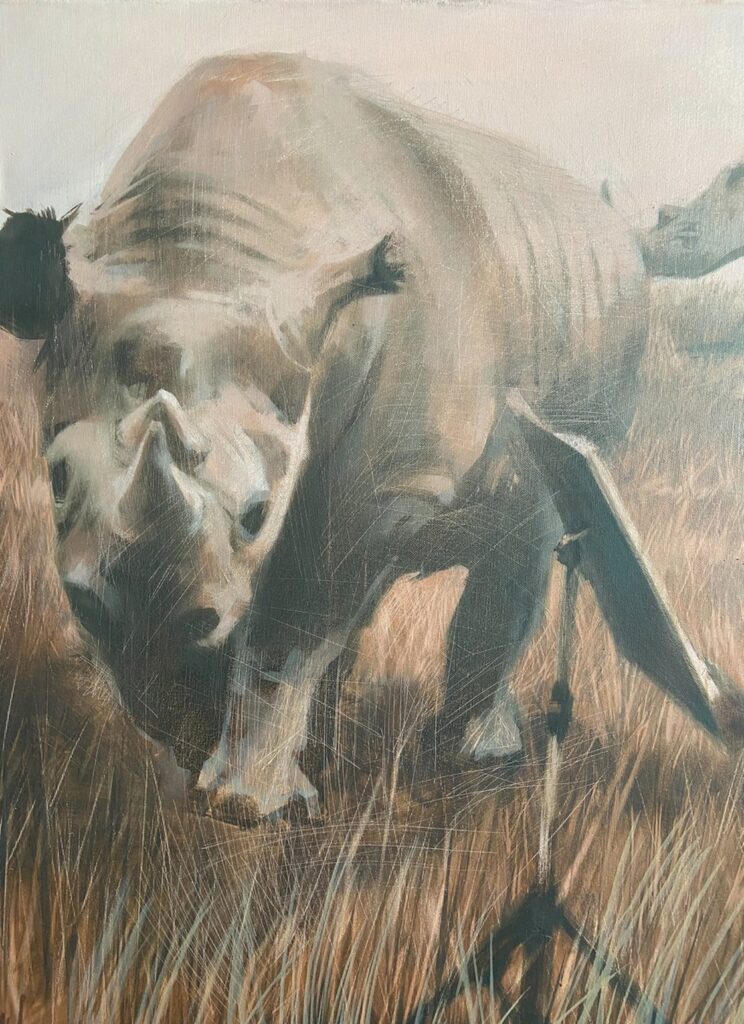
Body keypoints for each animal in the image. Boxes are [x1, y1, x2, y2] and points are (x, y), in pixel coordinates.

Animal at [2, 53, 666, 820]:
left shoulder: (390, 477)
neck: (201, 258)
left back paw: (476, 758)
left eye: (257, 512)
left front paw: (244, 806)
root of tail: (615, 228)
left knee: (531, 524)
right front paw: (183, 748)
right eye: (54, 480)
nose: (137, 608)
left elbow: (299, 608)